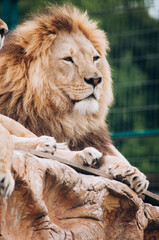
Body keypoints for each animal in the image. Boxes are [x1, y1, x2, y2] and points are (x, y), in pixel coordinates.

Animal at [0, 4, 149, 194]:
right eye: (68, 59)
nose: (96, 79)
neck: (69, 118)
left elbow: (117, 156)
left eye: (95, 58)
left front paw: (132, 172)